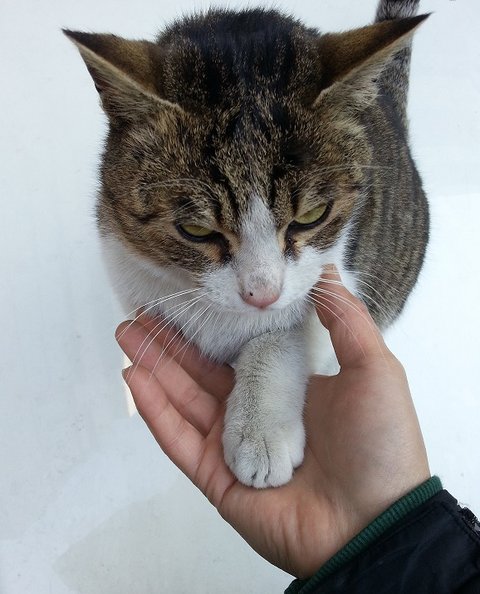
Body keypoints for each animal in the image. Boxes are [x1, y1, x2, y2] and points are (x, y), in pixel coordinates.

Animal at [65, 0, 429, 488]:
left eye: (312, 216)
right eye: (196, 230)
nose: (261, 294)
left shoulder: (333, 281)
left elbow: (282, 337)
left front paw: (259, 431)